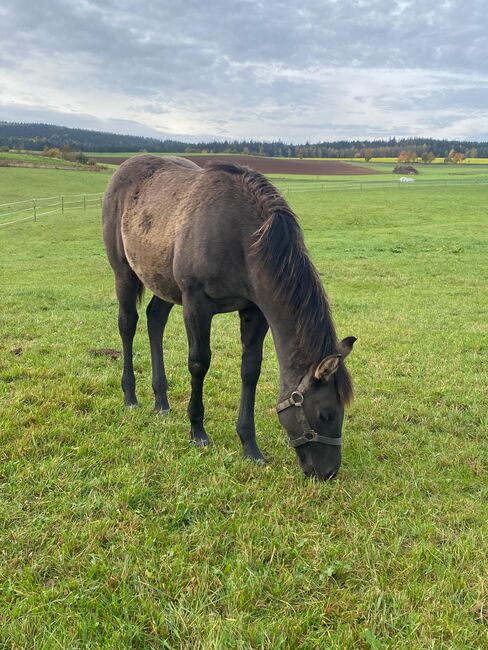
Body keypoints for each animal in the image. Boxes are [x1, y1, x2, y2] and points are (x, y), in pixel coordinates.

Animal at [103, 155, 356, 478]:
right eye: (326, 414)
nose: (328, 472)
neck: (242, 238)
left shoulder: (254, 310)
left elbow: (250, 371)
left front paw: (249, 445)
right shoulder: (197, 303)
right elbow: (199, 363)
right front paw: (198, 431)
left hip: (163, 282)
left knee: (155, 320)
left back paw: (161, 401)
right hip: (123, 272)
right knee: (128, 325)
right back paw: (131, 396)